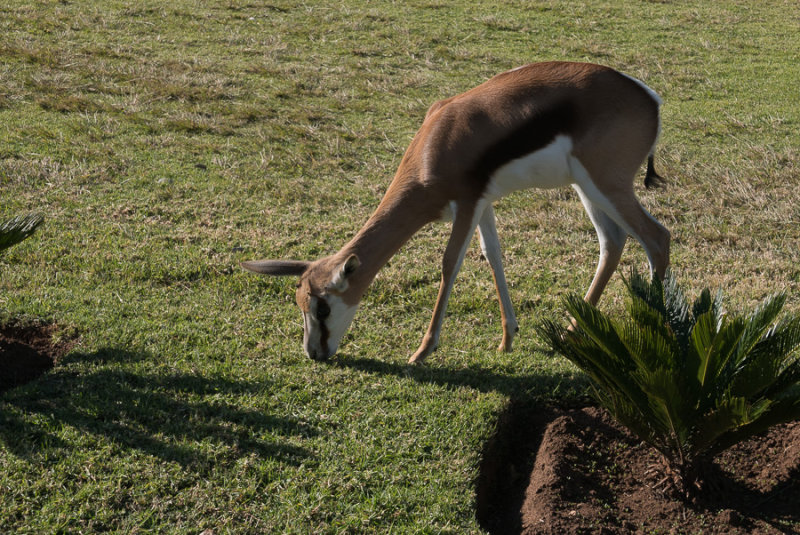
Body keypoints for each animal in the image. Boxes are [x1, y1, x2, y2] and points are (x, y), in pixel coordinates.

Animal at [244, 61, 668, 364]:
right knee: (613, 242)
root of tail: (648, 97)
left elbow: (450, 264)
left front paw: (422, 351)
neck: (435, 145)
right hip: (586, 188)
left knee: (656, 237)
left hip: (605, 185)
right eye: (300, 303)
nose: (314, 353)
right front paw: (507, 339)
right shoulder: (483, 204)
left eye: (321, 306)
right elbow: (493, 256)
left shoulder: (466, 203)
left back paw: (657, 330)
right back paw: (570, 332)